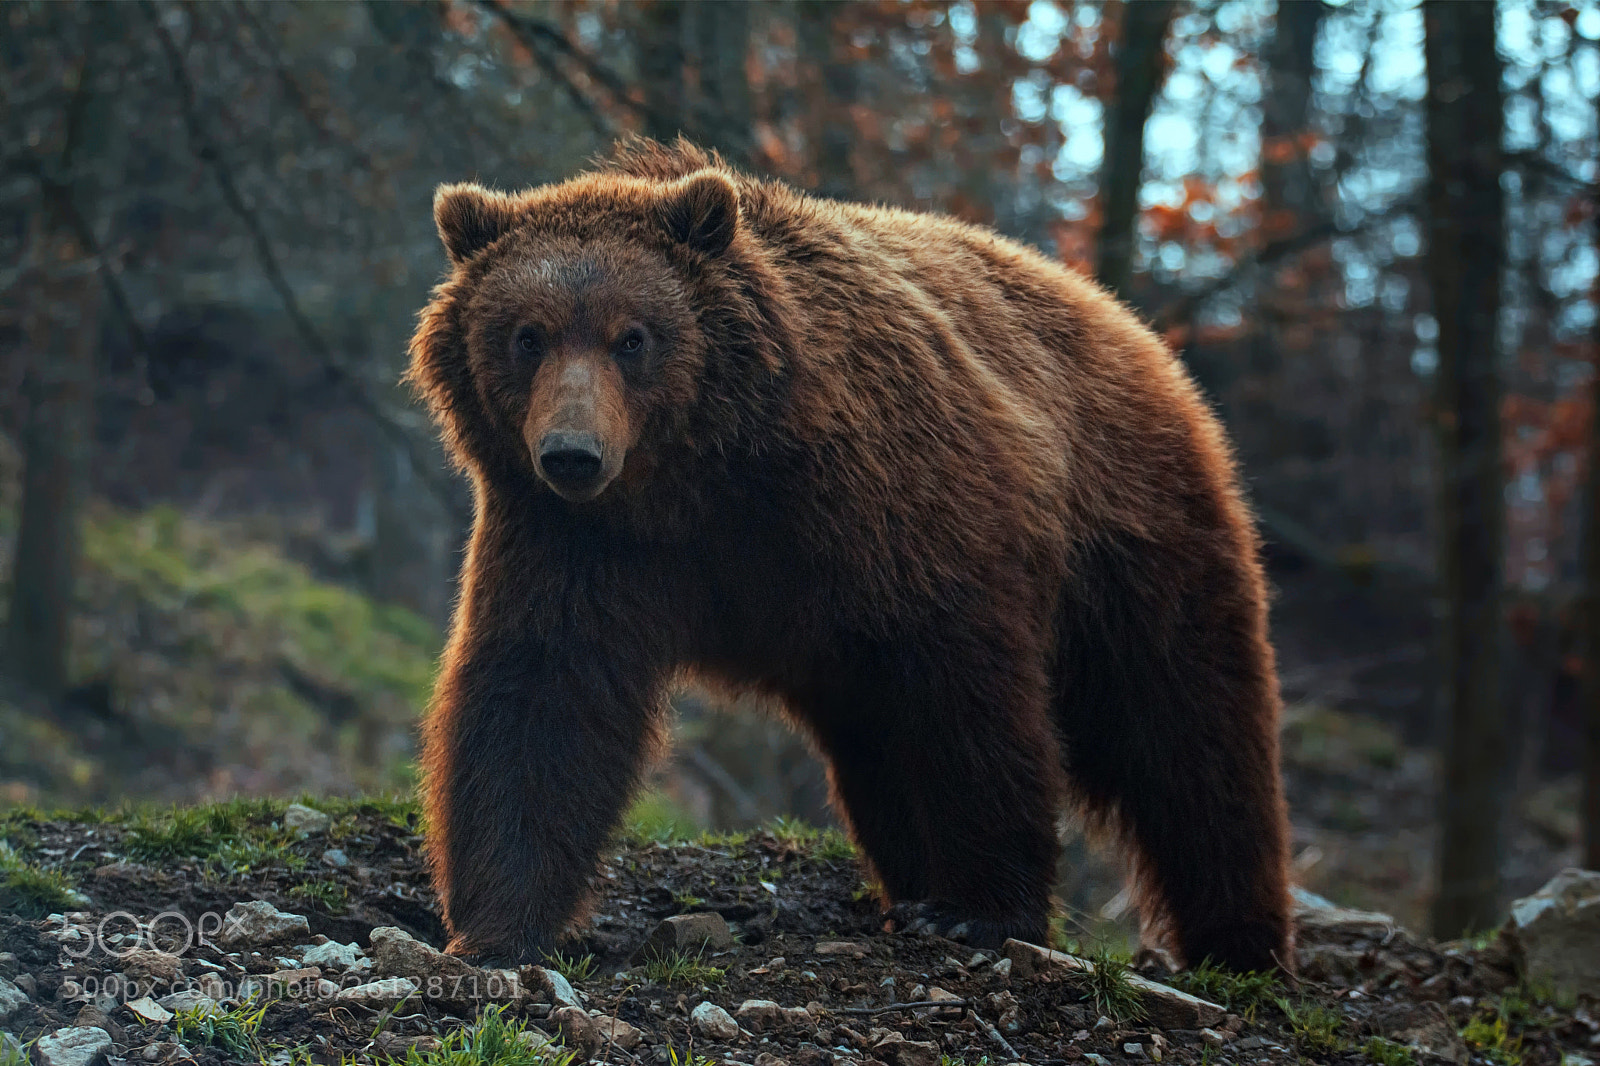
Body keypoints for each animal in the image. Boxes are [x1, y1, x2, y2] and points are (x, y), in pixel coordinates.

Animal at [407, 137, 1292, 973]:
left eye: (633, 337)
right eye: (526, 336)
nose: (572, 454)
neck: (706, 472)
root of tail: (1131, 325)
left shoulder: (888, 508)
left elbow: (967, 696)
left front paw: (977, 908)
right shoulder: (581, 543)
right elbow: (540, 696)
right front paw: (497, 928)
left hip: (1131, 543)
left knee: (1188, 734)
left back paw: (1241, 940)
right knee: (882, 750)